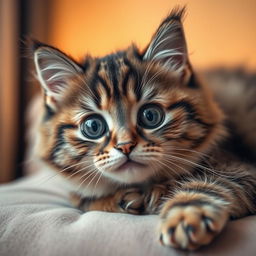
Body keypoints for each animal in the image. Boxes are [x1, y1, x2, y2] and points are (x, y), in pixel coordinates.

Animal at [30, 7, 256, 250]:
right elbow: (81, 199)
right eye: (93, 126)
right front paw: (123, 200)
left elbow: (207, 186)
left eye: (150, 116)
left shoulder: (240, 168)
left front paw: (184, 217)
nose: (125, 146)